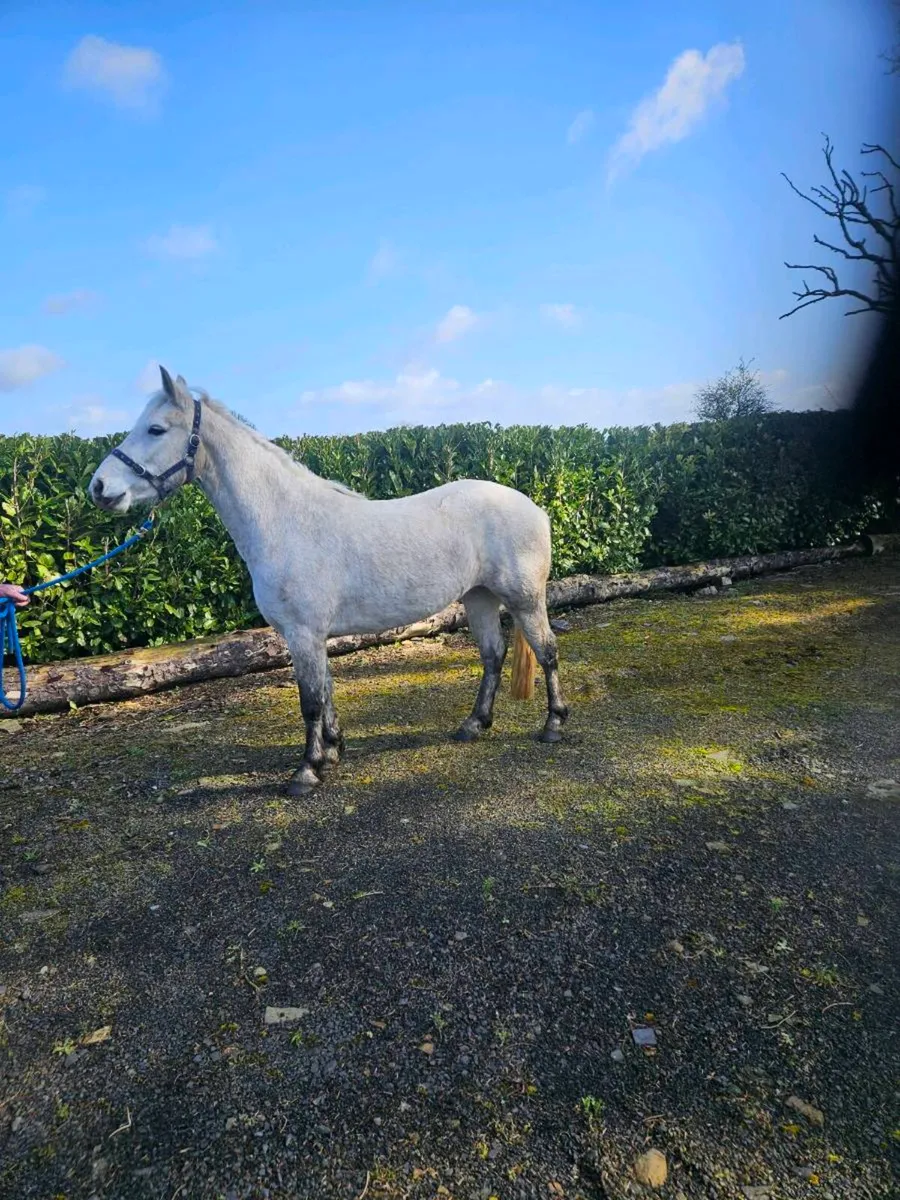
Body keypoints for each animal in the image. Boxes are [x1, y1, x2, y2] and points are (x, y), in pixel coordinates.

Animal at [88, 367, 568, 795]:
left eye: (155, 429)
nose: (99, 488)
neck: (286, 521)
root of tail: (534, 508)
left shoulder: (303, 632)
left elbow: (311, 701)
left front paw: (307, 771)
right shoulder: (312, 636)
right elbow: (327, 691)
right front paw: (333, 750)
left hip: (524, 599)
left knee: (546, 652)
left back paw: (553, 724)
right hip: (479, 597)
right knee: (493, 655)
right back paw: (473, 725)